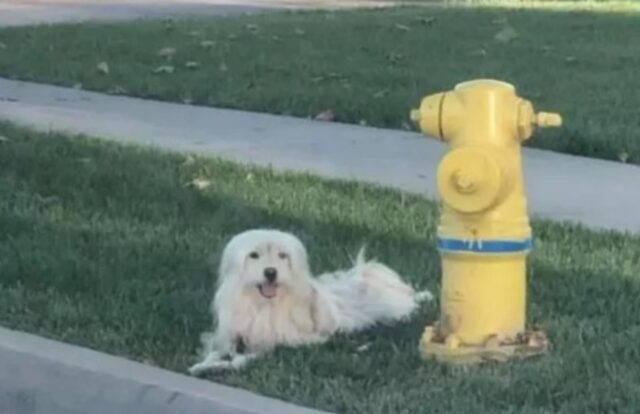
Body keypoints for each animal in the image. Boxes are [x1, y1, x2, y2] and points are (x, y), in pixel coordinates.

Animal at [188, 228, 432, 374]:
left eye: (283, 255)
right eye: (254, 255)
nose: (270, 272)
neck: (264, 305)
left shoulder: (282, 342)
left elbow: (242, 360)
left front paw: (222, 365)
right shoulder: (231, 337)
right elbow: (217, 351)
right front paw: (202, 365)